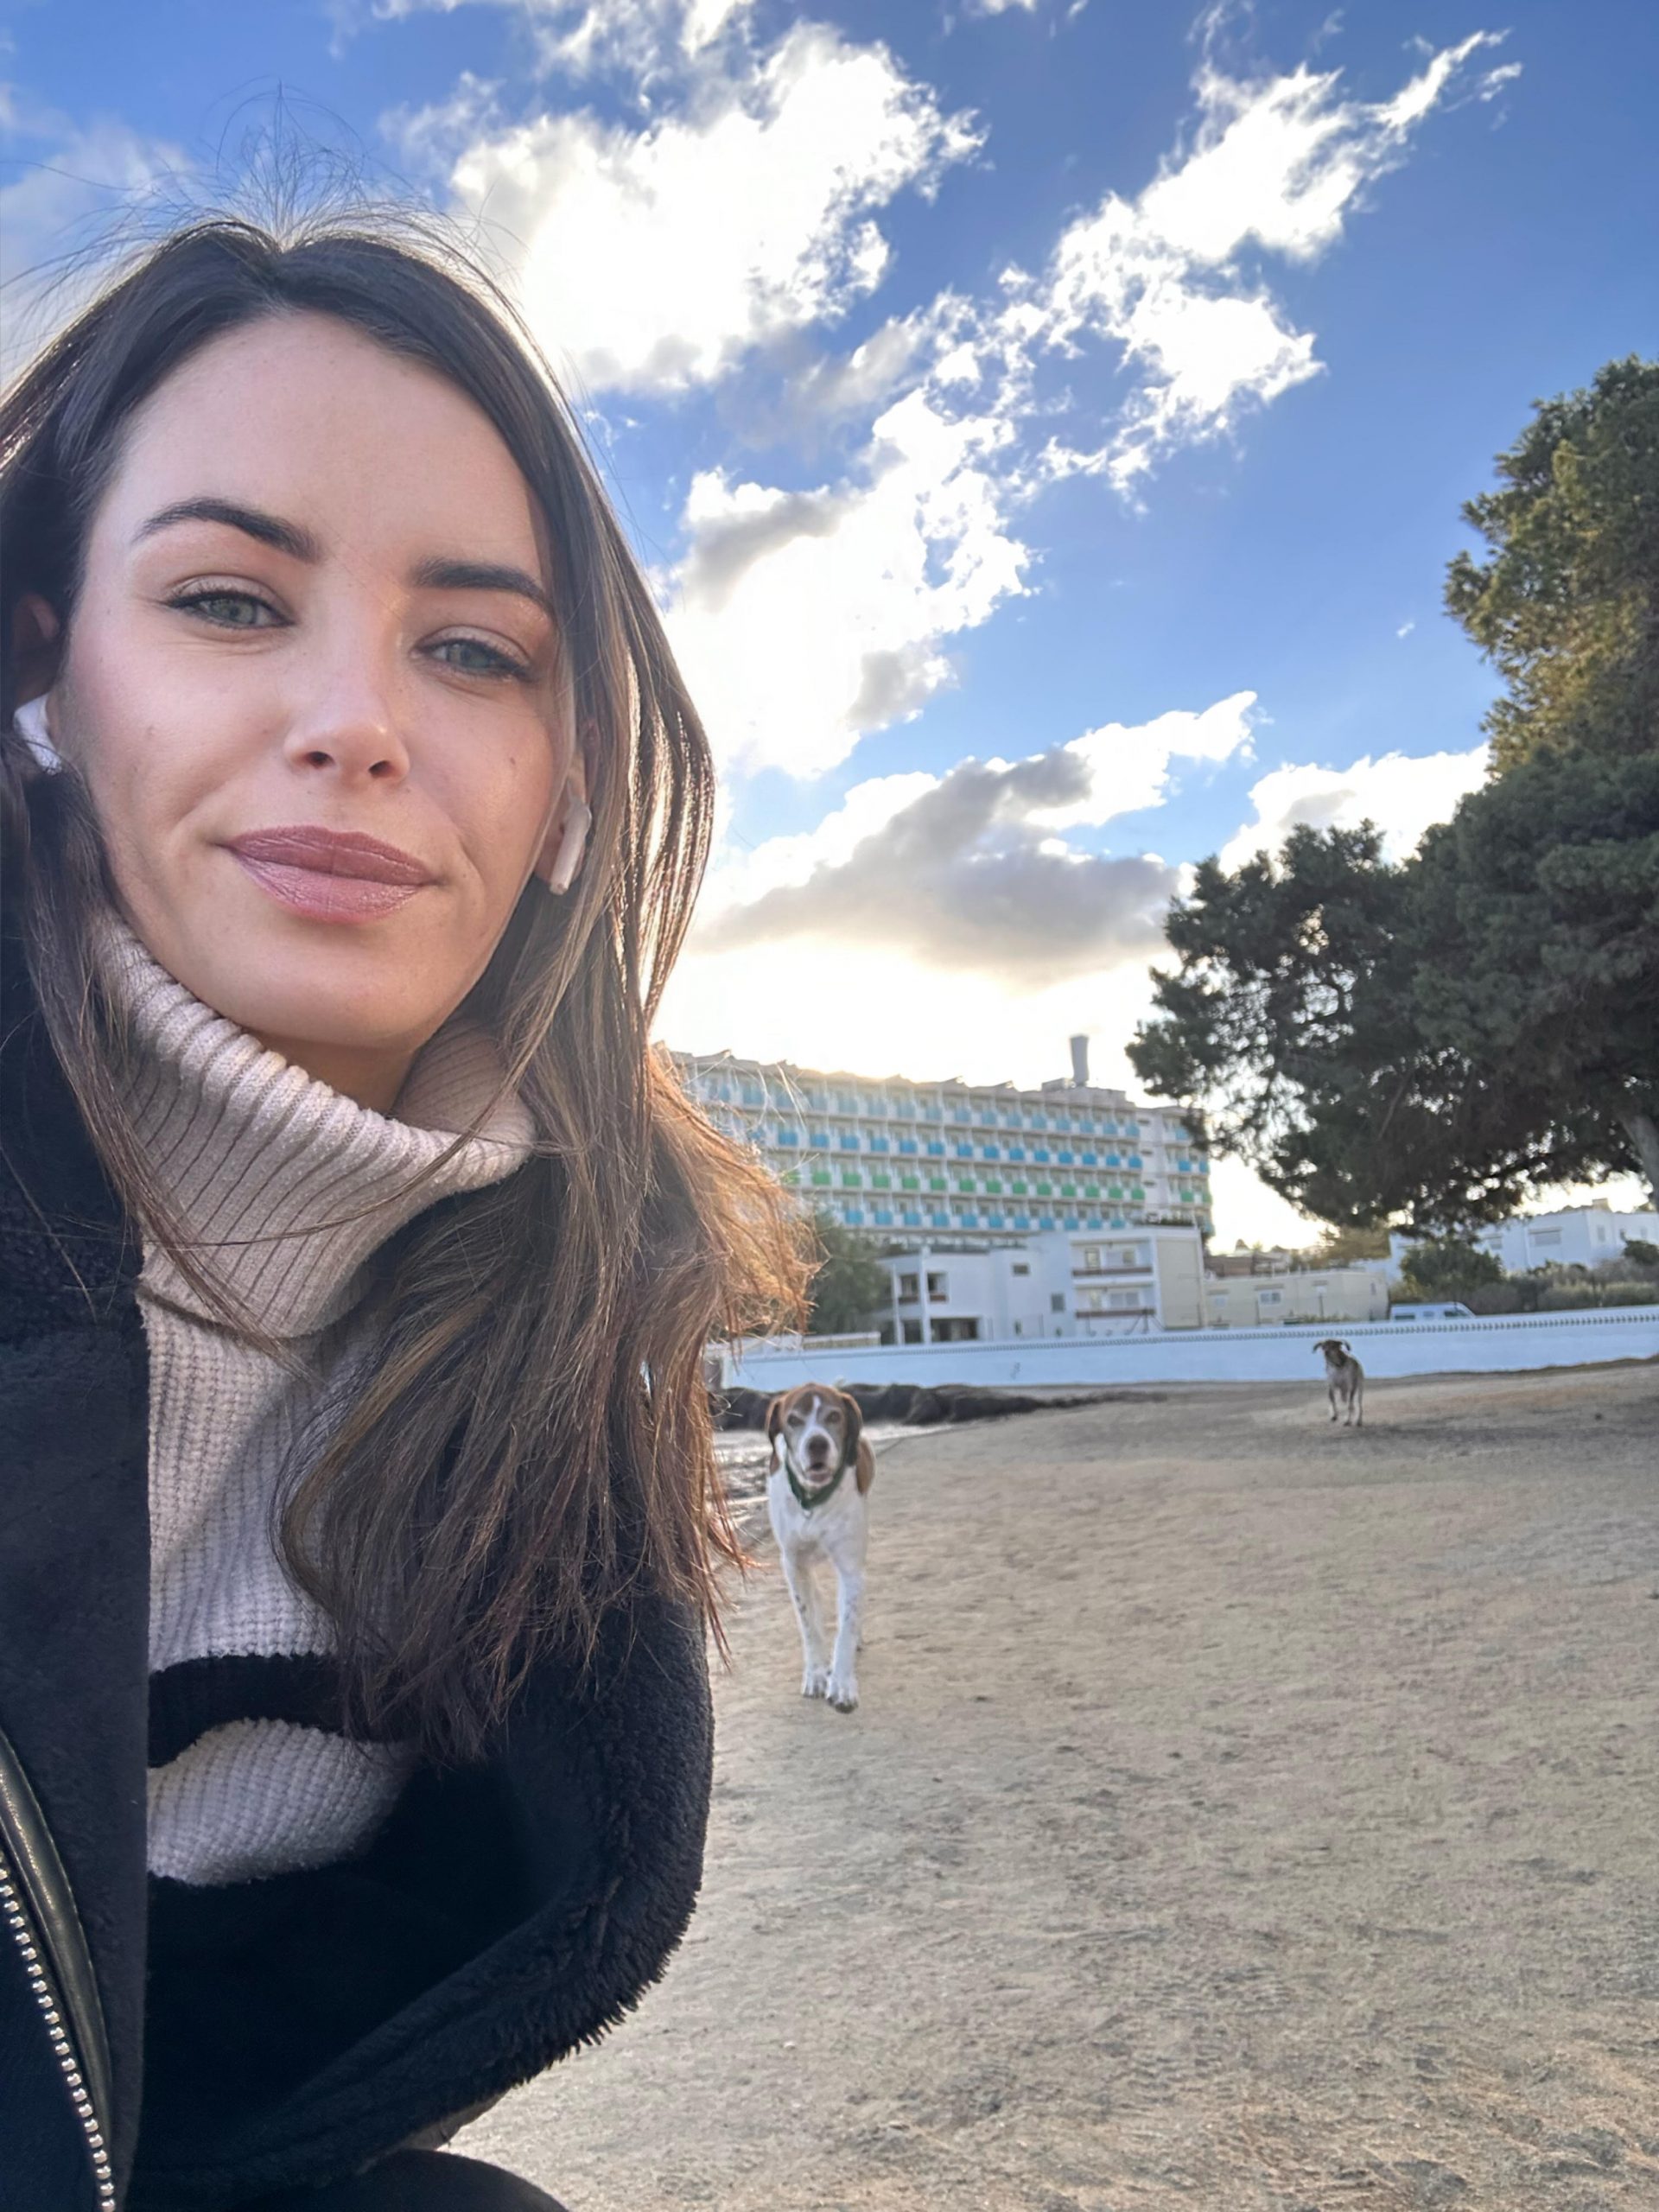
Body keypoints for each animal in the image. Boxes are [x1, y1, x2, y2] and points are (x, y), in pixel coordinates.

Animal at [765, 1380, 875, 1707]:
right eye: (793, 1420)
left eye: (834, 1416)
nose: (817, 1444)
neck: (812, 1502)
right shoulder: (793, 1564)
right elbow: (809, 1625)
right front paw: (816, 1673)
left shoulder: (850, 1567)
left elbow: (846, 1627)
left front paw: (842, 1683)